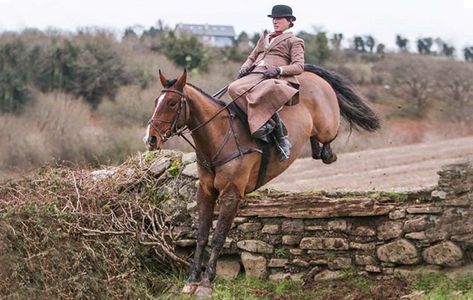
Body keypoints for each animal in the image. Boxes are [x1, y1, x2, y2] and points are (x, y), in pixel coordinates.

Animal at [144, 64, 380, 296]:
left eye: (172, 103)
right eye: (156, 102)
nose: (151, 139)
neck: (219, 137)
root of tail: (310, 75)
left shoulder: (231, 194)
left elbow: (218, 236)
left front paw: (206, 283)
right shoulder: (205, 192)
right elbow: (201, 235)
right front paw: (192, 280)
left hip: (326, 126)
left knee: (328, 140)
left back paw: (323, 151)